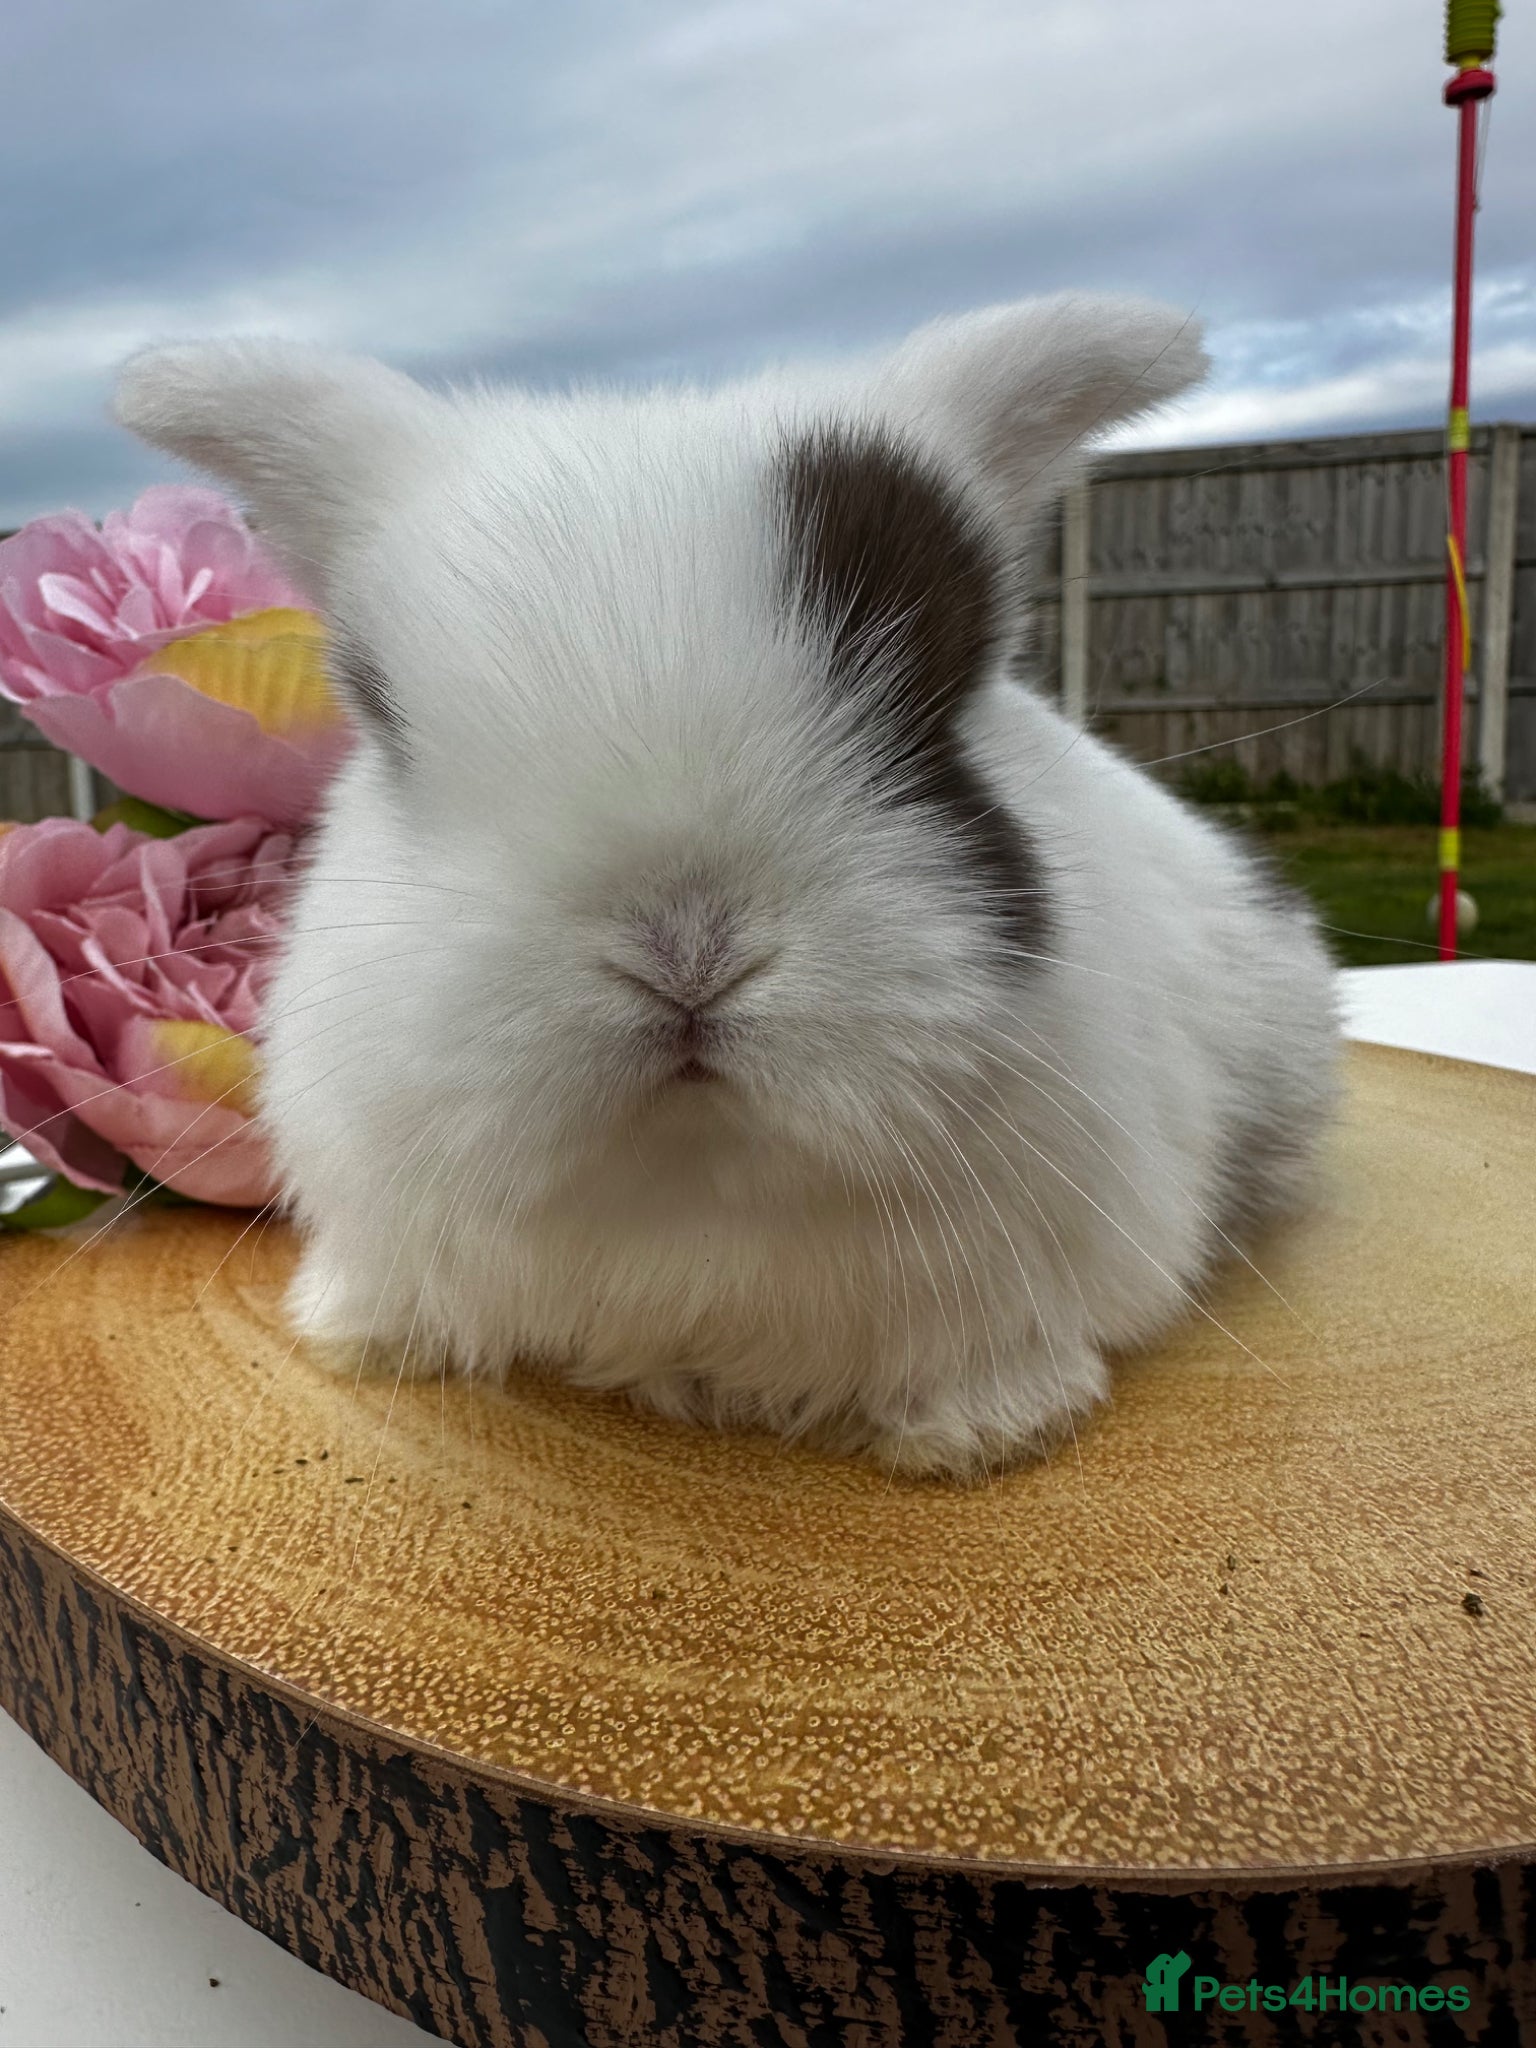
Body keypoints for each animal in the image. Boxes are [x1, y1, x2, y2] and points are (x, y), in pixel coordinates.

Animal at [114, 295, 1339, 1480]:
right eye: (391, 728)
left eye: (932, 716)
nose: (687, 955)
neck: (691, 1185)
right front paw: (365, 1341)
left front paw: (982, 1435)